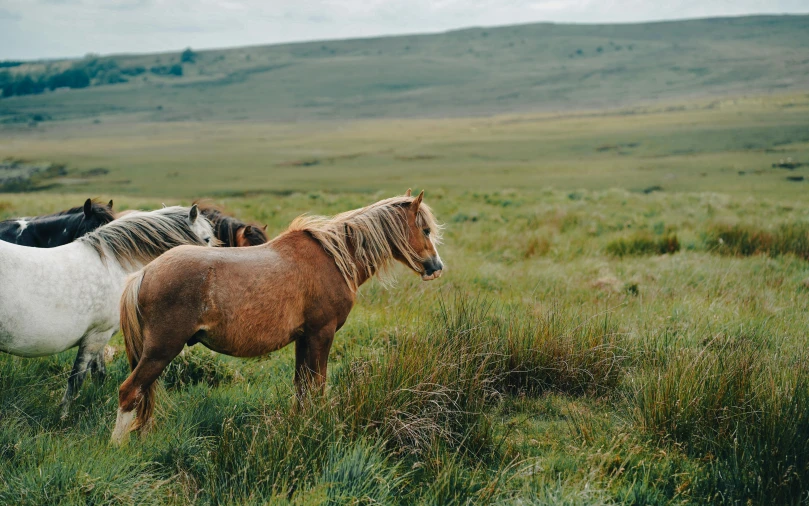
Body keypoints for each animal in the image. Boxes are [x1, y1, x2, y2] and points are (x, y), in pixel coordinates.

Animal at [0, 205, 215, 416]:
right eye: (207, 239)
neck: (115, 267)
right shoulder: (97, 336)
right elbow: (76, 381)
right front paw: (62, 417)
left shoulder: (96, 338)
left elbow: (99, 375)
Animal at [109, 190, 442, 442]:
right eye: (425, 230)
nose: (436, 267)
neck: (334, 257)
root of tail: (145, 273)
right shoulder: (322, 334)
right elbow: (317, 386)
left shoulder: (304, 339)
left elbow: (302, 388)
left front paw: (301, 424)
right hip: (161, 350)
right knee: (129, 392)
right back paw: (117, 446)